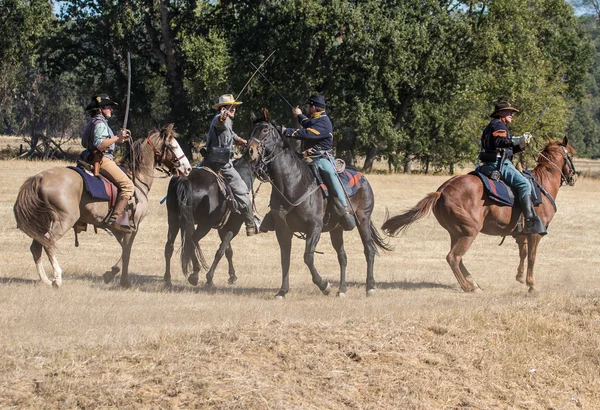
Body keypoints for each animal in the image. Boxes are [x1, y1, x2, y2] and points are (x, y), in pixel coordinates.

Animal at [12, 125, 191, 288]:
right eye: (174, 146)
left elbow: (124, 250)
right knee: (48, 243)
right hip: (64, 220)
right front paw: (121, 279)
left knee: (36, 246)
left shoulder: (118, 228)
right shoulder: (133, 227)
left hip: (42, 222)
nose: (188, 168)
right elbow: (127, 251)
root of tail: (40, 177)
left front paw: (114, 274)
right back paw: (57, 278)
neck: (136, 179)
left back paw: (45, 280)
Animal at [164, 156, 255, 288]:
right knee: (191, 242)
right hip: (203, 225)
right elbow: (221, 251)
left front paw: (232, 276)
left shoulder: (222, 228)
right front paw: (210, 278)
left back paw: (168, 279)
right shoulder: (232, 228)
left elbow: (228, 251)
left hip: (174, 220)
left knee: (170, 246)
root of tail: (186, 180)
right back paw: (194, 274)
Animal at [246, 109, 392, 298]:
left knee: (369, 250)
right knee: (342, 256)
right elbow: (285, 258)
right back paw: (342, 289)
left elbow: (308, 256)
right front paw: (282, 291)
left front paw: (324, 285)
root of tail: (363, 178)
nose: (249, 151)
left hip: (363, 220)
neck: (292, 183)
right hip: (337, 229)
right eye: (251, 131)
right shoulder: (283, 230)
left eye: (265, 130)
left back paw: (370, 287)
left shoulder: (314, 227)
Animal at [382, 137, 576, 292]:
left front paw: (520, 277)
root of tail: (441, 191)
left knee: (457, 258)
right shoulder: (536, 233)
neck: (543, 184)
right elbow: (532, 257)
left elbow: (523, 253)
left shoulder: (522, 234)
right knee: (453, 257)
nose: (573, 177)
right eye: (572, 155)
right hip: (469, 231)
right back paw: (469, 287)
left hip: (457, 233)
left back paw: (472, 283)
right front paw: (531, 285)